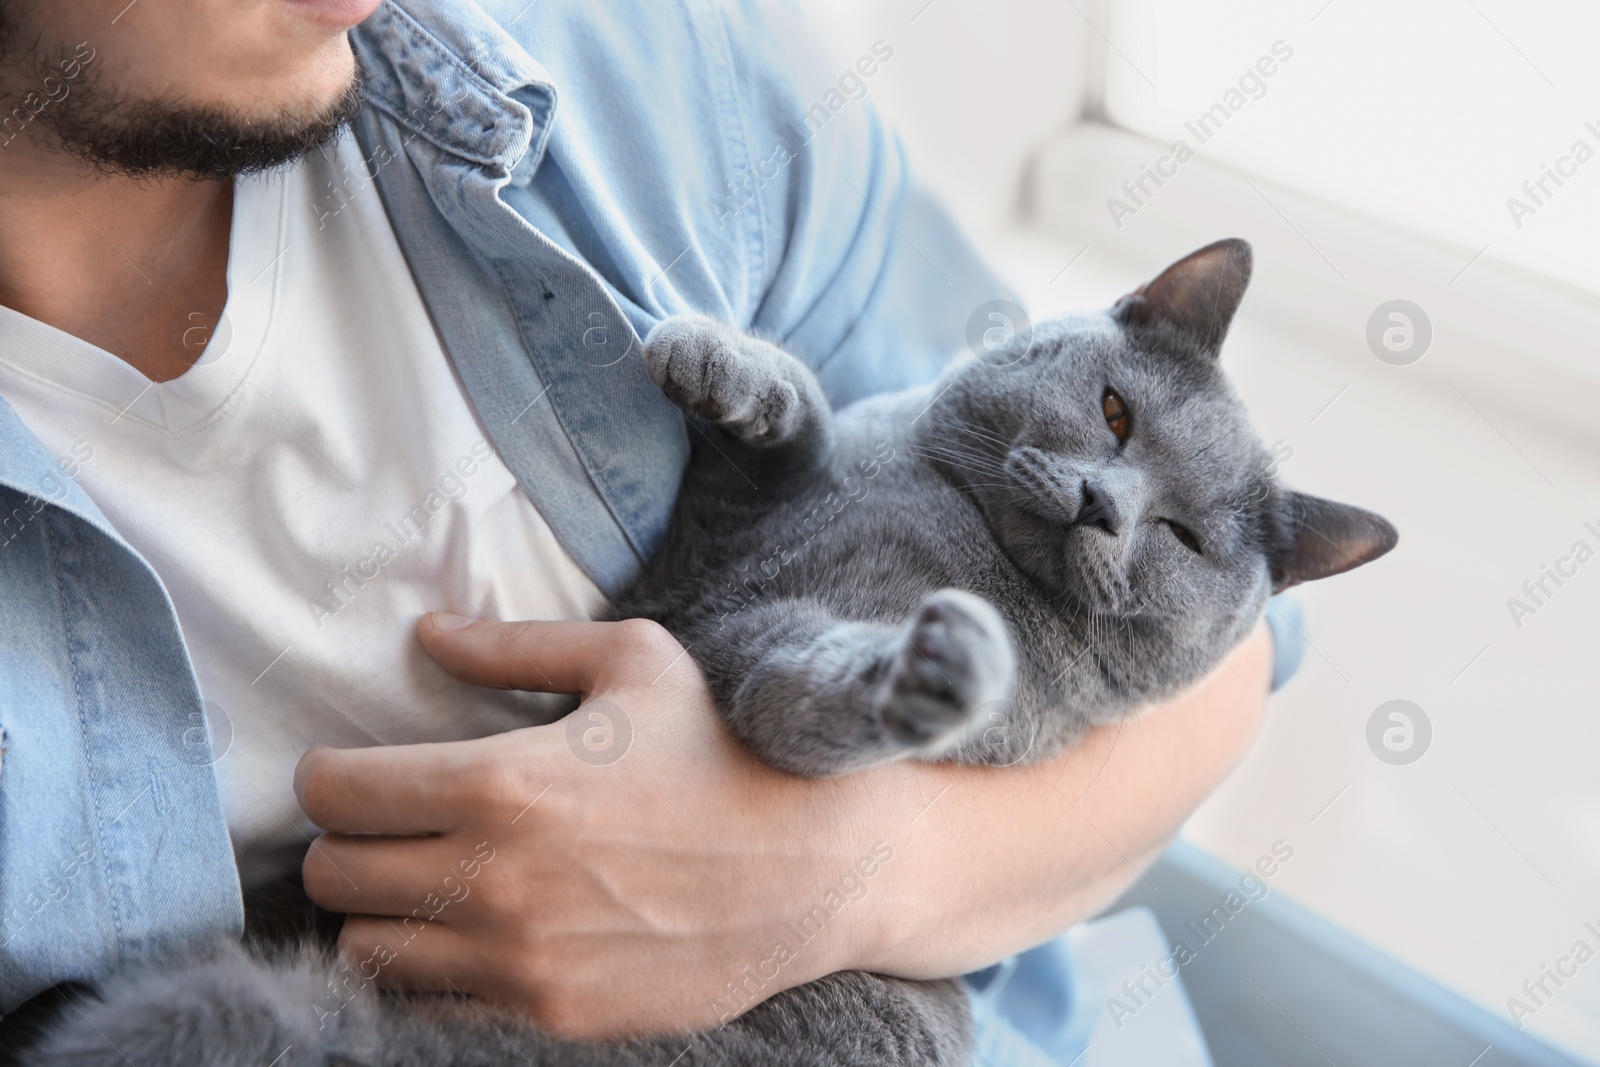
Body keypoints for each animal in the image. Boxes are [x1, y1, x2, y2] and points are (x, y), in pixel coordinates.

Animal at [25, 239, 1401, 1067]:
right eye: (1115, 410)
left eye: (1183, 536)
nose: (1105, 505)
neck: (949, 526)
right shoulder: (710, 538)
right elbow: (791, 418)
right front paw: (707, 358)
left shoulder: (747, 647)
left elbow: (803, 693)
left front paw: (933, 672)